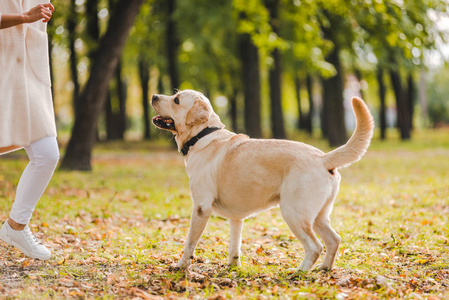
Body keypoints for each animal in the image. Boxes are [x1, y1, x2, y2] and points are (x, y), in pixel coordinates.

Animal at [152, 89, 372, 272]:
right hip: (318, 216)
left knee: (315, 246)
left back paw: (299, 272)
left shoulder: (200, 208)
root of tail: (323, 158)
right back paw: (324, 268)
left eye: (176, 100)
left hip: (293, 213)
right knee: (334, 240)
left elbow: (190, 243)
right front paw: (233, 267)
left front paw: (181, 266)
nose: (154, 96)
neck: (202, 135)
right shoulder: (236, 218)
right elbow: (235, 246)